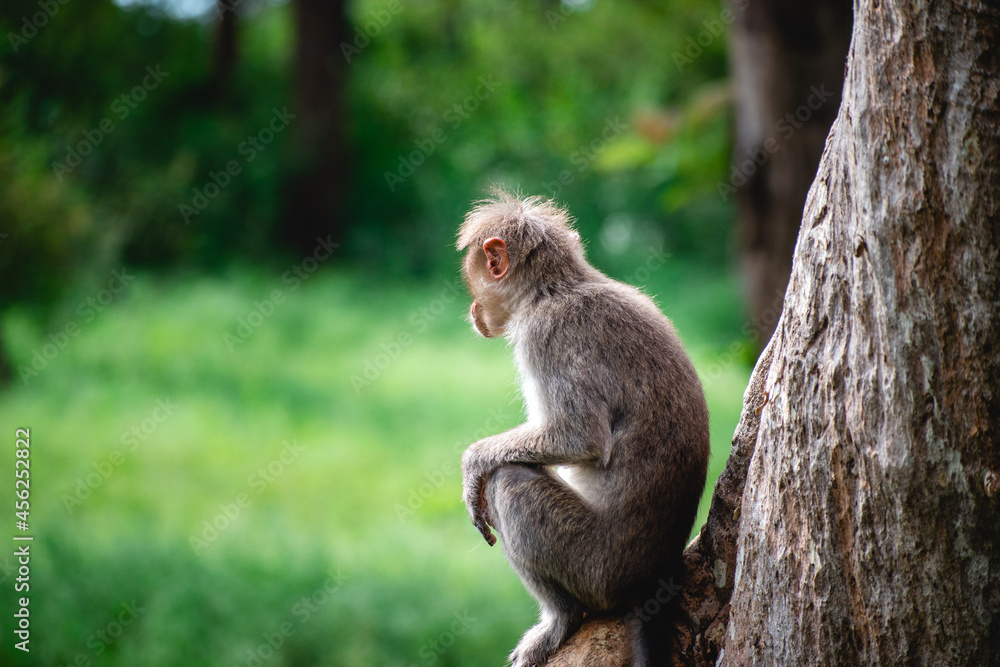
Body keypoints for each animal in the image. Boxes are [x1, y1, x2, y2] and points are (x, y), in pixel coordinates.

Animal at [457, 190, 710, 667]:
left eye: (472, 280)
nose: (473, 309)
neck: (554, 289)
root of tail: (652, 577)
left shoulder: (546, 335)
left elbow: (581, 435)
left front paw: (472, 463)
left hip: (595, 568)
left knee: (510, 481)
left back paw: (563, 617)